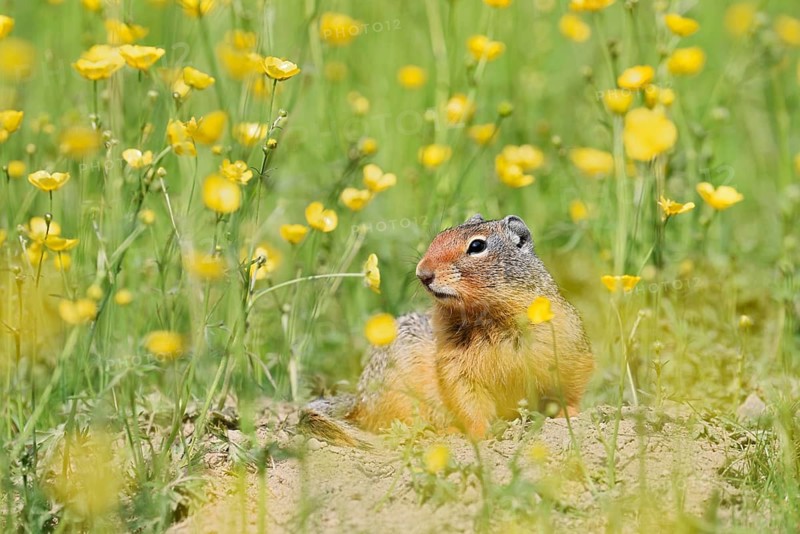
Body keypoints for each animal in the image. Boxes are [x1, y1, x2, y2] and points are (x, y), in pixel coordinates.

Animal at [301, 214, 594, 446]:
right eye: (440, 235)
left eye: (477, 246)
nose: (422, 273)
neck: (489, 318)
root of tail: (358, 399)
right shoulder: (456, 367)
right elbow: (469, 403)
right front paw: (479, 436)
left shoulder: (568, 345)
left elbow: (572, 386)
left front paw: (569, 415)